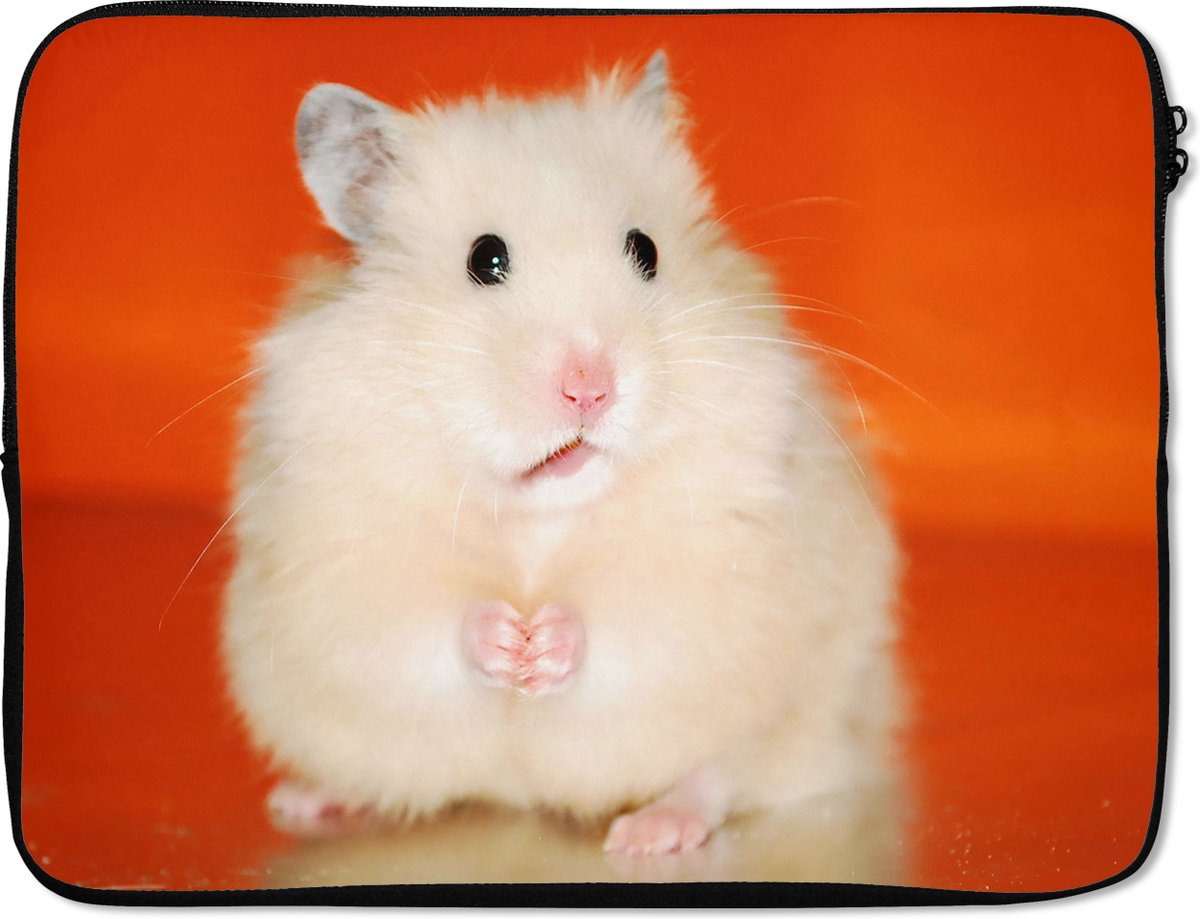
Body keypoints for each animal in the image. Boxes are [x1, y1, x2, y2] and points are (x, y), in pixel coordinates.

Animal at [221, 52, 900, 856]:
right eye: (485, 259)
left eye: (646, 249)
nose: (591, 390)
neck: (539, 514)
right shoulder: (341, 573)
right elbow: (422, 627)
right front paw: (508, 641)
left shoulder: (722, 573)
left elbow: (631, 626)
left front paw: (542, 643)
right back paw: (309, 800)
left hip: (803, 700)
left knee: (721, 773)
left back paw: (652, 832)